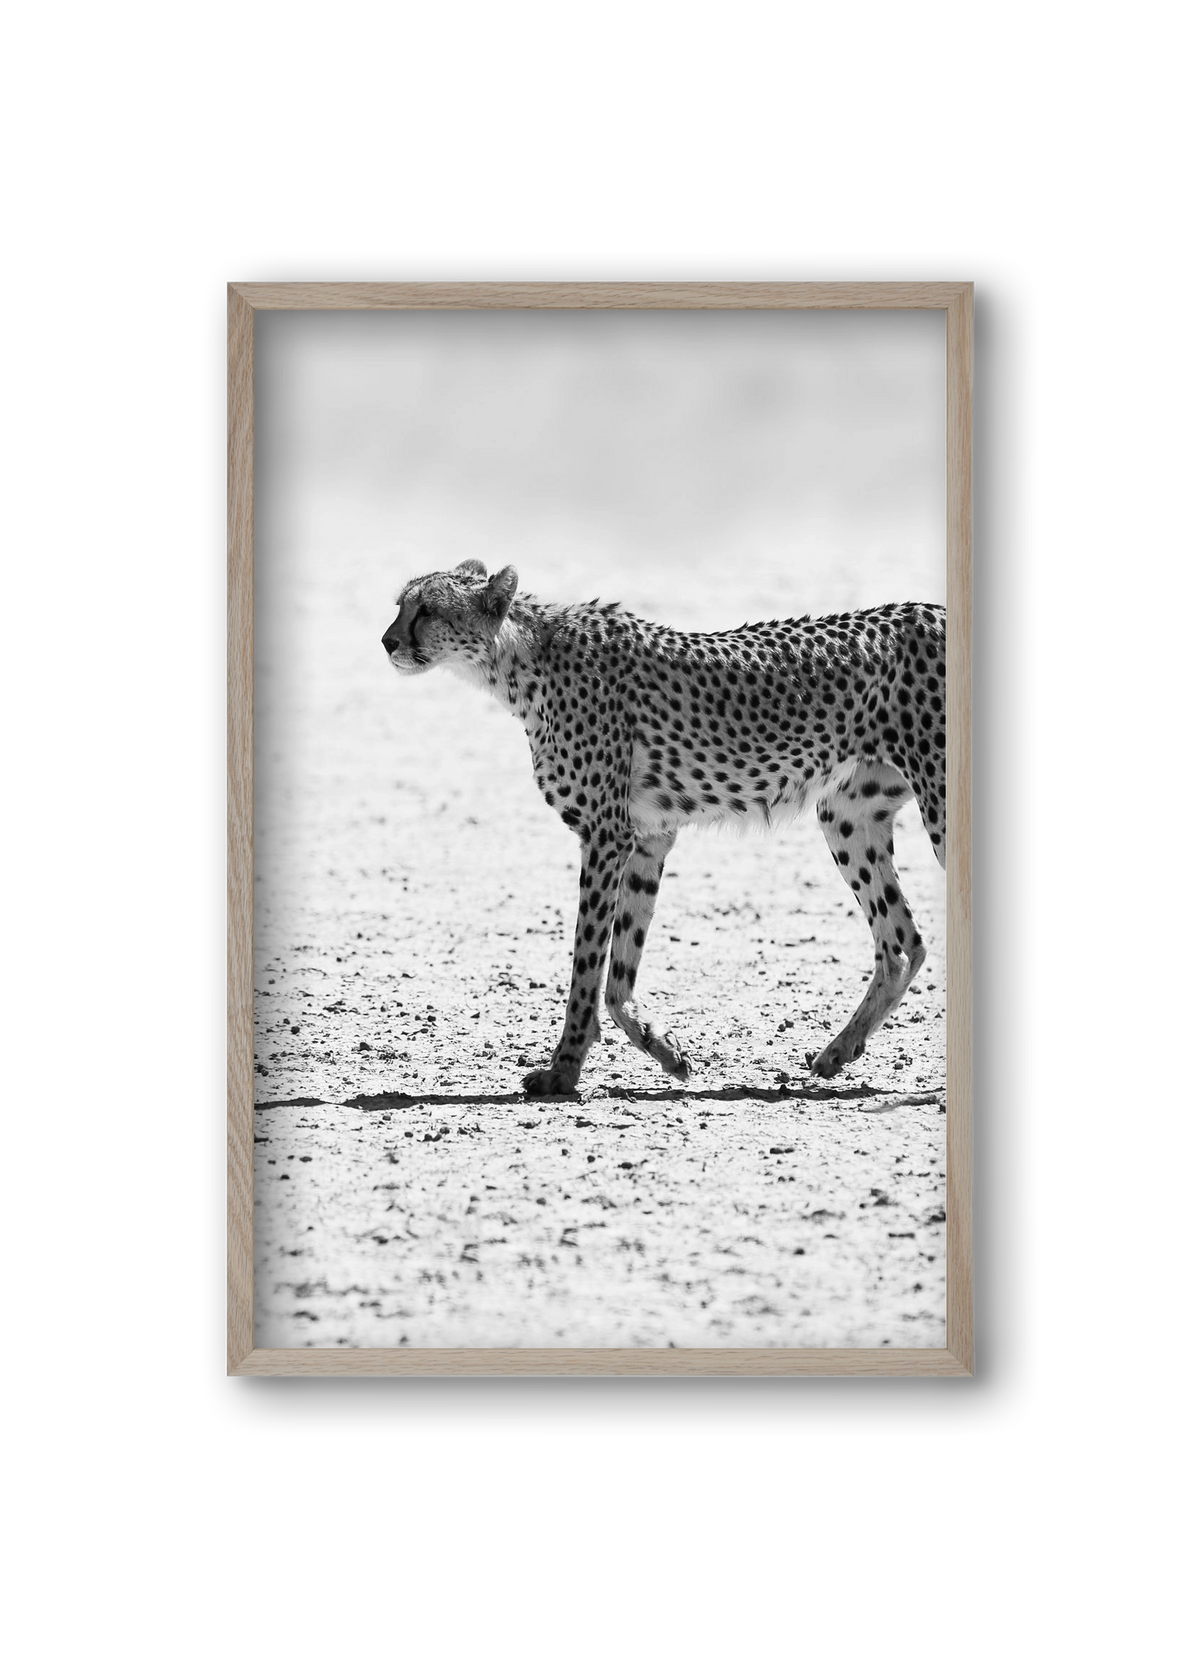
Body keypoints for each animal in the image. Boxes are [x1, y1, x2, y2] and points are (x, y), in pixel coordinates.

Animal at [383, 559, 946, 1097]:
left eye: (427, 609)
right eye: (400, 605)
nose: (387, 641)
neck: (519, 660)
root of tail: (932, 608)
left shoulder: (606, 835)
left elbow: (587, 964)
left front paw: (563, 1071)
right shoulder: (648, 838)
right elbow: (618, 972)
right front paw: (666, 1051)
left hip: (936, 805)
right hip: (847, 816)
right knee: (902, 943)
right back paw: (838, 1052)